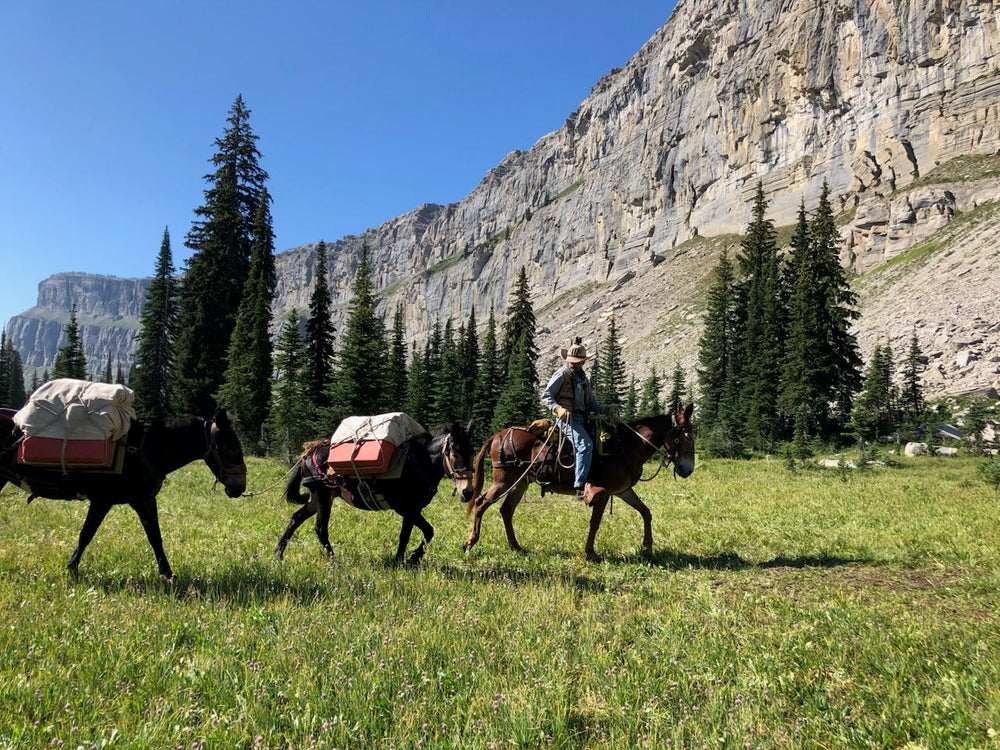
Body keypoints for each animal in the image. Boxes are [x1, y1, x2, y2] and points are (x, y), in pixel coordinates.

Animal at [0, 412, 247, 580]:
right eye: (230, 448)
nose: (239, 488)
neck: (147, 451)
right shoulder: (102, 500)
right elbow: (86, 534)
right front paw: (72, 569)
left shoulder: (144, 500)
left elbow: (155, 538)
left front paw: (168, 575)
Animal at [276, 420, 474, 568]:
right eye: (454, 452)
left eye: (473, 452)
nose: (468, 492)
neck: (419, 463)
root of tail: (310, 452)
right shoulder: (405, 508)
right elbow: (417, 533)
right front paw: (405, 560)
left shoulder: (414, 509)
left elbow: (419, 533)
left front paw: (407, 559)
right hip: (324, 496)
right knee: (320, 529)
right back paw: (334, 561)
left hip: (317, 498)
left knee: (296, 518)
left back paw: (278, 553)